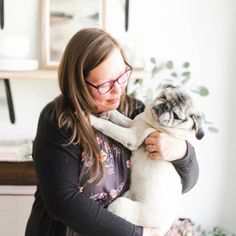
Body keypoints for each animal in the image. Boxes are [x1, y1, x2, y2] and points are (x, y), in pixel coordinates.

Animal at [89, 84, 204, 235]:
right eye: (164, 97)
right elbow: (120, 117)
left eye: (176, 115)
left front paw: (93, 119)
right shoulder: (133, 123)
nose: (165, 106)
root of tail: (162, 228)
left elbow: (110, 126)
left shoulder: (131, 136)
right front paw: (109, 112)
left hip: (120, 205)